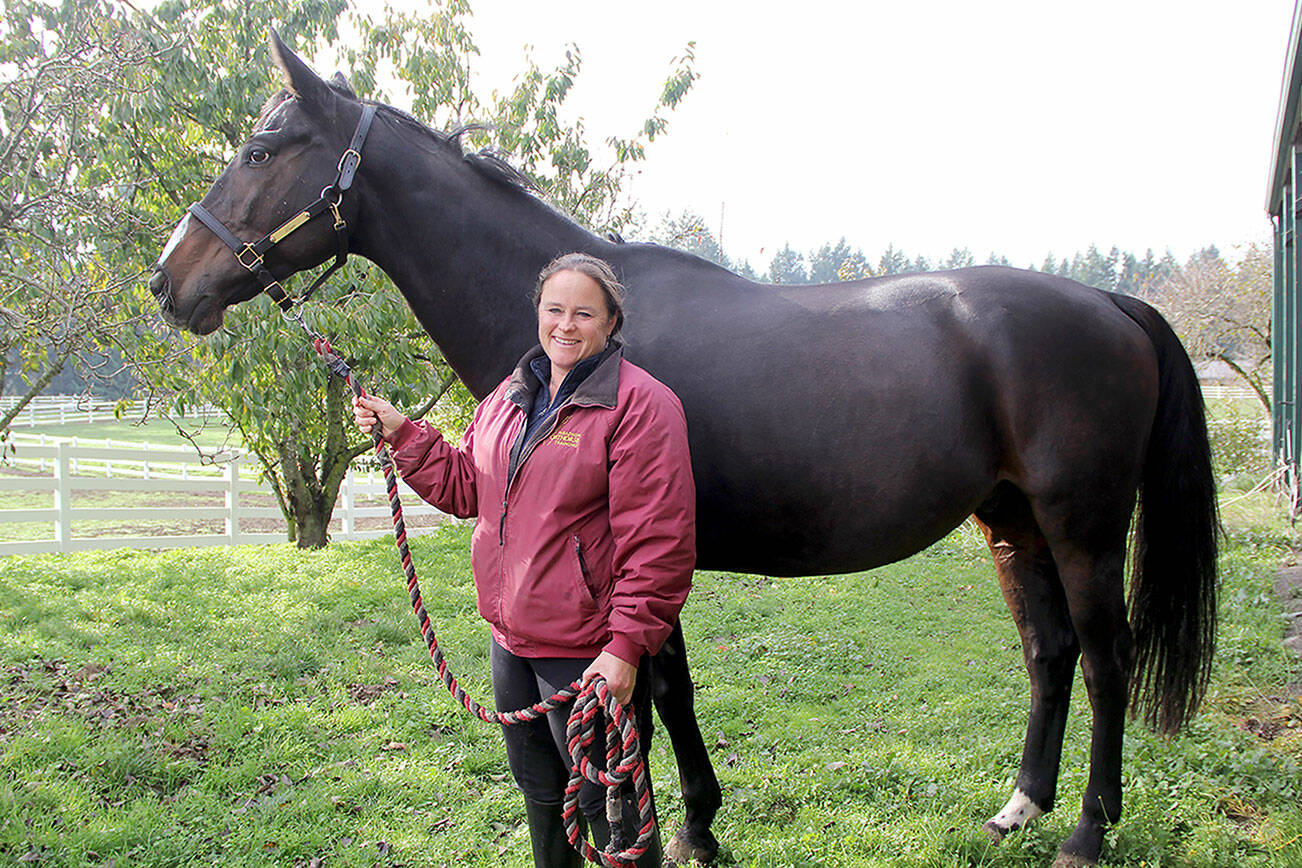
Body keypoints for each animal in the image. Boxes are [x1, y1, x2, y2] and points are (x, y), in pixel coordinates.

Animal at [148, 32, 1218, 868]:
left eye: (261, 149)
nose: (169, 281)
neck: (598, 336)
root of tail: (1110, 302)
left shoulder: (643, 550)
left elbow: (654, 688)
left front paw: (689, 827)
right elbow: (664, 691)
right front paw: (694, 820)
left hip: (1083, 526)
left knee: (1107, 659)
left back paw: (1087, 831)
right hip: (1011, 522)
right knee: (1050, 652)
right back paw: (1018, 809)